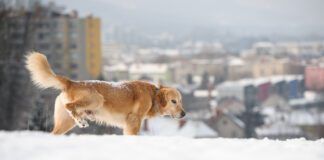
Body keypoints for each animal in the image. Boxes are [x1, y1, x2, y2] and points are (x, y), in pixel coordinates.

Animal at [25, 52, 185, 135]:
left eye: (180, 101)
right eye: (174, 101)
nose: (183, 114)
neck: (153, 95)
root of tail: (71, 82)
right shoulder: (133, 120)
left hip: (65, 122)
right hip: (96, 99)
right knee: (70, 105)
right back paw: (81, 121)